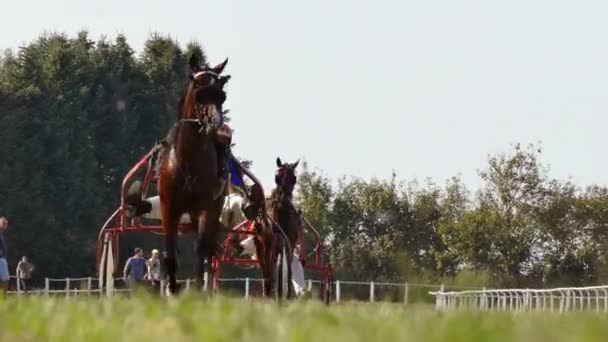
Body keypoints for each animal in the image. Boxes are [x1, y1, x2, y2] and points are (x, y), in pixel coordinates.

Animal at [157, 55, 230, 294]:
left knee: (205, 248)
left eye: (221, 93)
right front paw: (172, 290)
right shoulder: (169, 208)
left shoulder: (206, 206)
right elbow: (170, 253)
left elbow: (200, 251)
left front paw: (197, 290)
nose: (215, 122)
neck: (188, 162)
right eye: (199, 89)